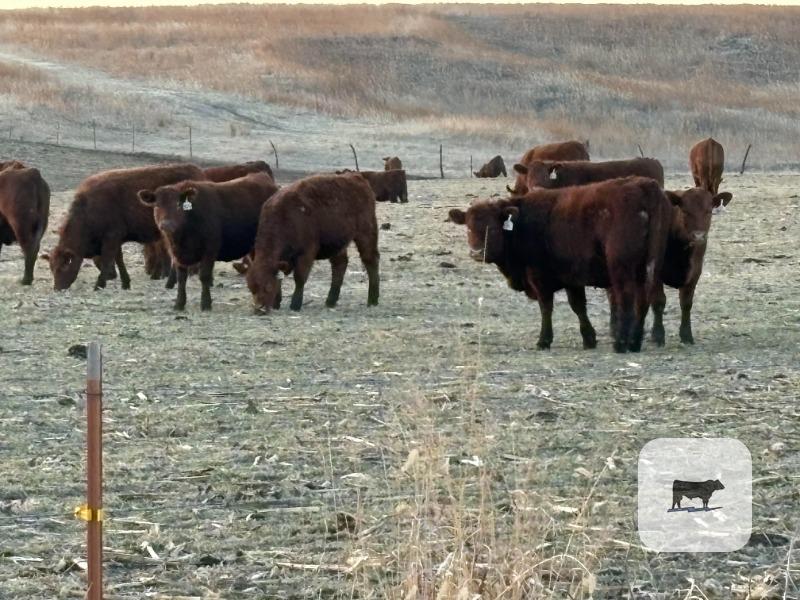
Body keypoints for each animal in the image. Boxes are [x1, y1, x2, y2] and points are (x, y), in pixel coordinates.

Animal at [50, 163, 206, 291]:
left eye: (64, 265)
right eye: (52, 268)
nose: (57, 288)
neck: (89, 208)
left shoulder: (111, 237)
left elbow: (108, 259)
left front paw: (99, 284)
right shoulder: (116, 239)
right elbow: (119, 260)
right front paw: (125, 283)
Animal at [138, 172, 278, 311]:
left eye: (178, 205)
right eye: (157, 205)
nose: (167, 225)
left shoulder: (209, 250)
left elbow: (204, 276)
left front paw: (205, 303)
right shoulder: (178, 255)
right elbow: (181, 278)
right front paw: (179, 303)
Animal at [246, 173, 379, 313]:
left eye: (267, 286)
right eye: (251, 287)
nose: (259, 309)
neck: (285, 217)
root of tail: (356, 177)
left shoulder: (306, 253)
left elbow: (299, 278)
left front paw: (295, 304)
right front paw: (277, 303)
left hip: (366, 233)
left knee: (370, 260)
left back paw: (372, 300)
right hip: (337, 243)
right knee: (340, 264)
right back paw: (330, 300)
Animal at [448, 177, 671, 353]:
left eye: (493, 228)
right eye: (469, 228)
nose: (477, 253)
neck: (523, 222)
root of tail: (644, 184)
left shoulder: (540, 278)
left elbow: (546, 307)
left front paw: (544, 340)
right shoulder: (573, 278)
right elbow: (578, 306)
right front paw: (589, 338)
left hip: (622, 270)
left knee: (627, 299)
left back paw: (621, 343)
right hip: (647, 269)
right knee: (643, 300)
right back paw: (634, 342)